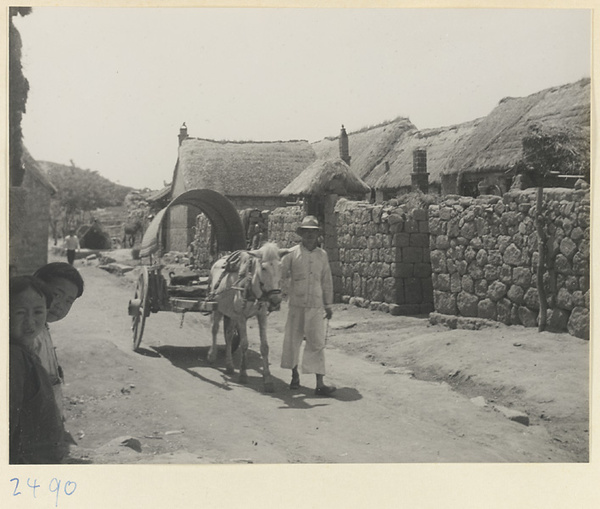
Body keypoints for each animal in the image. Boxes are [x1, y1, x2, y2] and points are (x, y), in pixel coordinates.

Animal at [207, 242, 284, 392]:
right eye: (263, 268)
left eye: (280, 266)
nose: (276, 301)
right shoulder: (241, 317)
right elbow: (244, 344)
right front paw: (243, 374)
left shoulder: (261, 315)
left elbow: (264, 347)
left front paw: (268, 380)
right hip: (217, 308)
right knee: (214, 329)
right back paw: (212, 356)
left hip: (231, 314)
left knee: (229, 335)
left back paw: (229, 365)